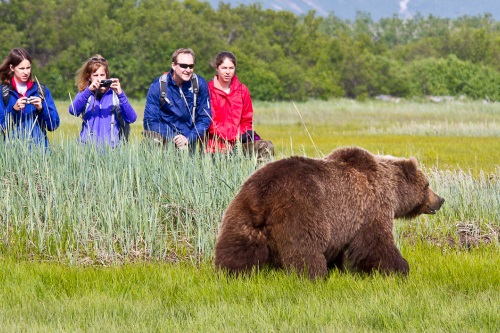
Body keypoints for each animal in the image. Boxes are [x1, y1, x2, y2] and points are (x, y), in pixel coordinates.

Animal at [215, 145, 446, 278]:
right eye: (427, 185)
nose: (441, 200)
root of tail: (264, 196)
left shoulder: (345, 220)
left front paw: (339, 268)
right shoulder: (370, 208)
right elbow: (376, 242)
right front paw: (400, 268)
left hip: (242, 210)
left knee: (236, 246)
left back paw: (230, 272)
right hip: (303, 210)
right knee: (304, 248)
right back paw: (314, 275)